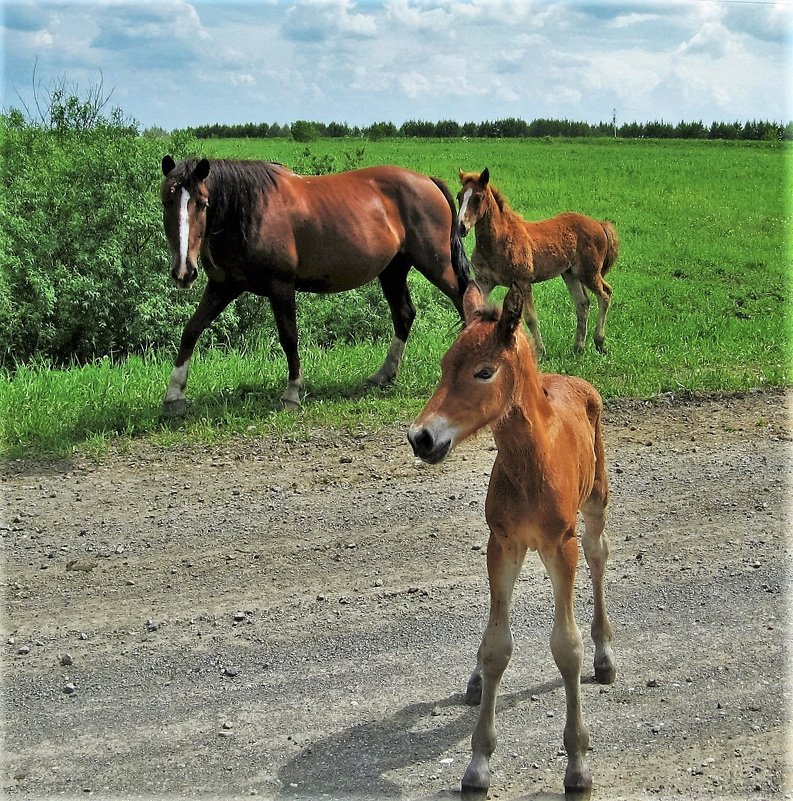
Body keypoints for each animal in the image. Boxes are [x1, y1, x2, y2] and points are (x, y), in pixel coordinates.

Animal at [161, 155, 470, 412]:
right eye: (167, 200)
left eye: (202, 203)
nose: (184, 271)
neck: (253, 210)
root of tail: (428, 180)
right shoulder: (223, 286)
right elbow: (191, 330)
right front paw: (174, 396)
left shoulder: (281, 286)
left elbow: (289, 338)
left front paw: (292, 393)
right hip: (393, 270)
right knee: (404, 314)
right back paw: (384, 374)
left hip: (437, 265)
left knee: (466, 301)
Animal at [408, 280, 620, 792]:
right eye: (444, 366)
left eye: (484, 372)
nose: (420, 437)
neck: (530, 463)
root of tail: (574, 379)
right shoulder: (501, 544)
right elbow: (495, 646)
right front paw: (478, 763)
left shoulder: (560, 545)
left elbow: (566, 648)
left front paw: (577, 762)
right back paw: (475, 681)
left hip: (596, 500)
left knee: (598, 554)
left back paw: (605, 655)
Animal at [454, 166, 616, 356]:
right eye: (459, 196)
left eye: (478, 198)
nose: (461, 226)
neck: (499, 239)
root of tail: (599, 224)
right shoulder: (485, 281)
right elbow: (473, 311)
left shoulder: (522, 282)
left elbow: (530, 318)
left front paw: (539, 350)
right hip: (570, 274)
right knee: (583, 303)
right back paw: (578, 347)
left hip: (588, 273)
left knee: (605, 293)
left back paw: (599, 342)